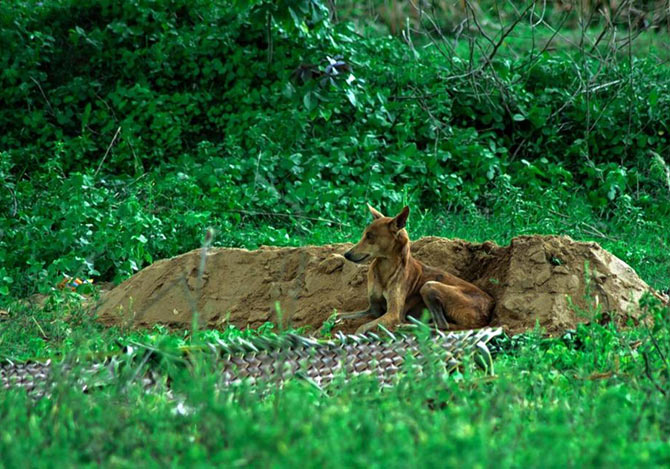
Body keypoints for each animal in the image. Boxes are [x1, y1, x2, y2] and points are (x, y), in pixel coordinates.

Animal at [342, 204, 494, 332]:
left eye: (370, 237)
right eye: (364, 235)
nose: (346, 254)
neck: (385, 269)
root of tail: (489, 309)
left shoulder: (393, 314)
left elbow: (361, 327)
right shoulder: (373, 310)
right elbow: (341, 314)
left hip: (429, 285)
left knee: (442, 325)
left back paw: (407, 326)